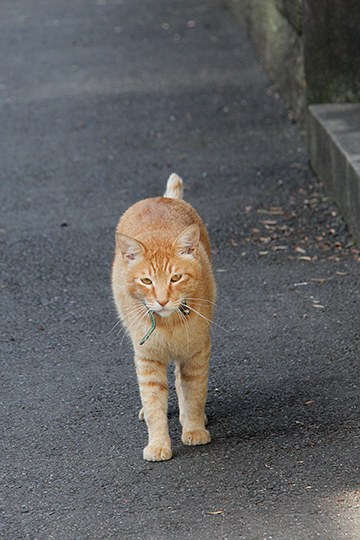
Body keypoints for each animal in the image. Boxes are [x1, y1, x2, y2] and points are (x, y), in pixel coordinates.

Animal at [111, 173, 215, 460]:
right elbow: (153, 401)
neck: (170, 325)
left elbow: (194, 392)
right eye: (146, 281)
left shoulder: (196, 352)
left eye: (175, 278)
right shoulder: (147, 358)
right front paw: (158, 443)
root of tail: (162, 198)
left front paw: (193, 427)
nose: (161, 300)